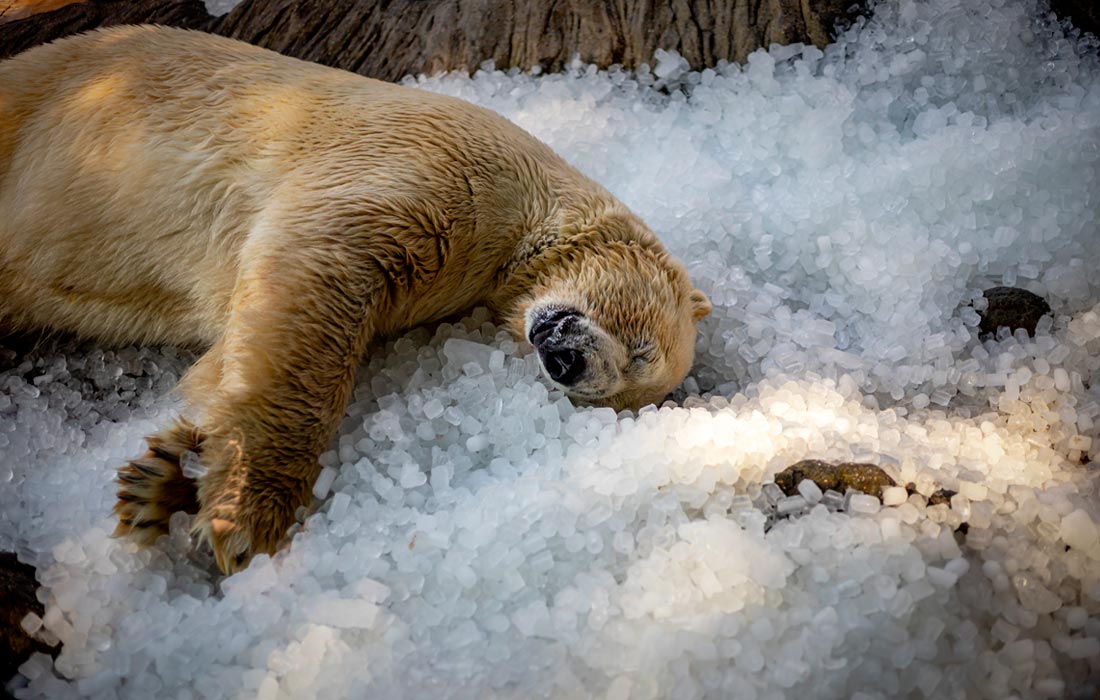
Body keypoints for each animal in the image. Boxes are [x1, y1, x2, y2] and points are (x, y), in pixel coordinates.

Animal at [0, 26, 711, 573]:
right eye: (640, 347)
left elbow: (237, 347)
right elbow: (318, 269)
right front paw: (246, 515)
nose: (570, 364)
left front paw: (165, 476)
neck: (537, 205)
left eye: (614, 396)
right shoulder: (440, 165)